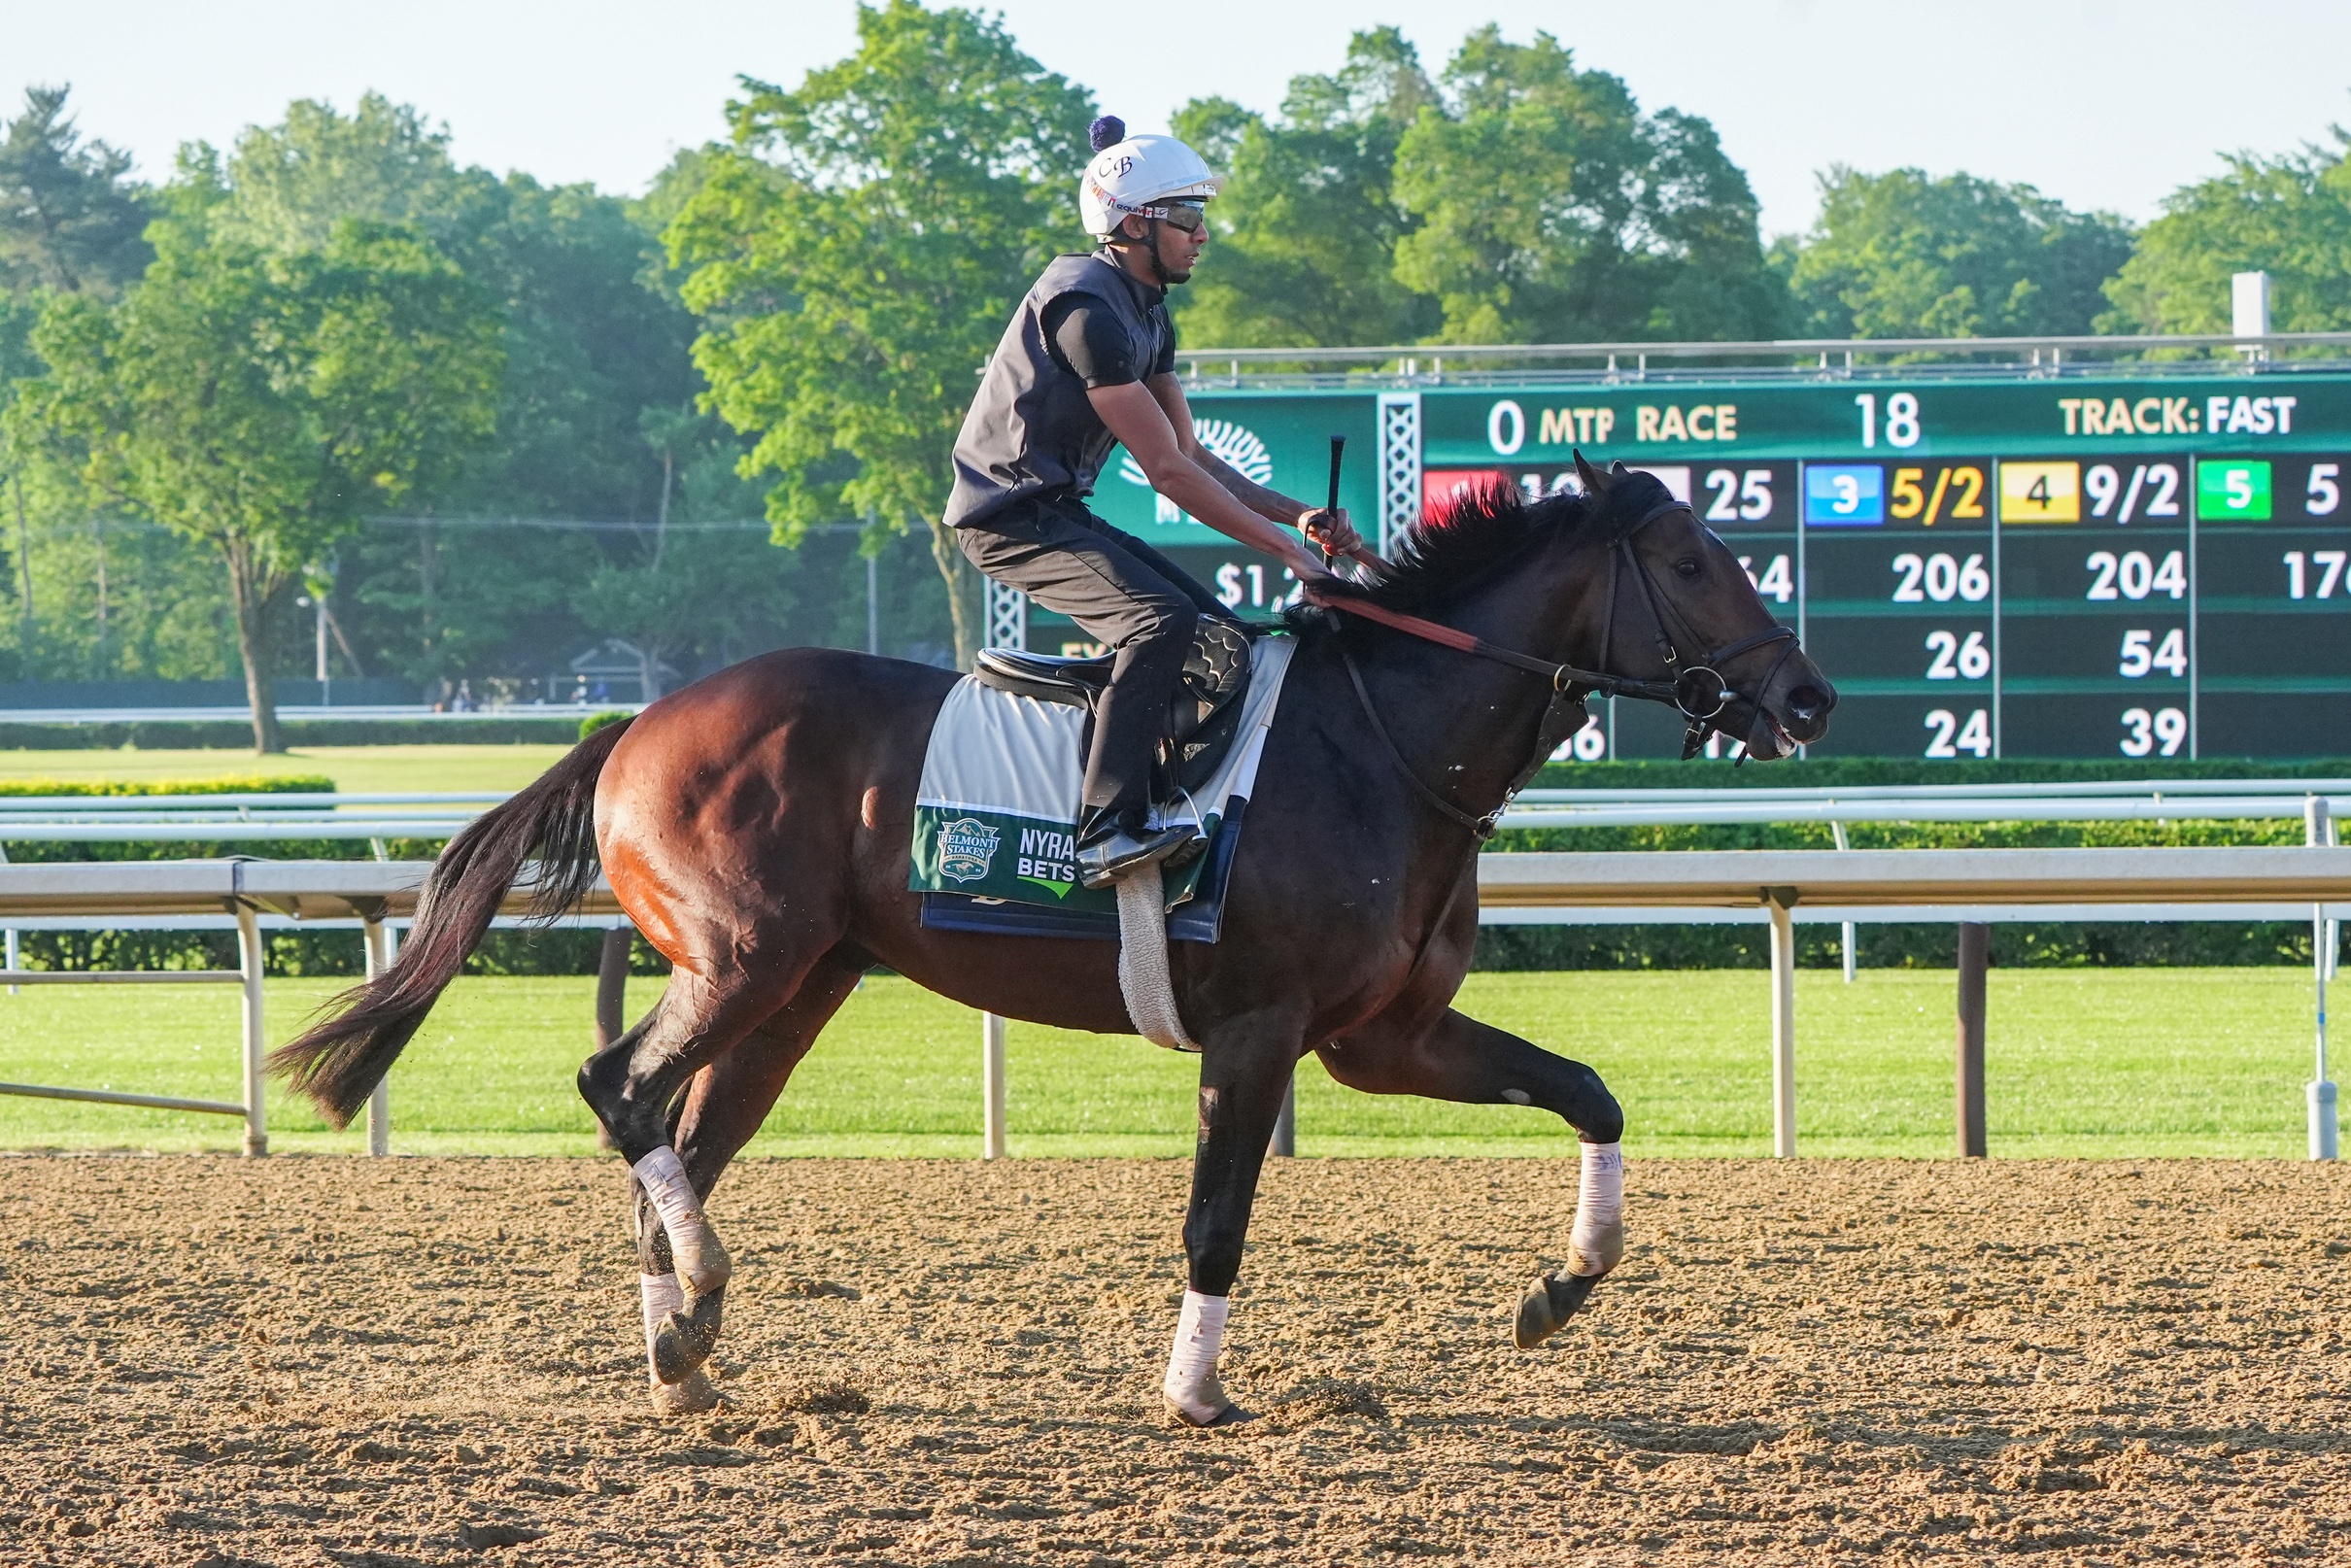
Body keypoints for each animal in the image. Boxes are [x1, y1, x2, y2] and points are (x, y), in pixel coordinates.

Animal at [270, 454, 1833, 1419]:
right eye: (1692, 561)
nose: (1807, 697)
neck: (1380, 745)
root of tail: (639, 724)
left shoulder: (1381, 1037)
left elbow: (1589, 1092)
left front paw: (1560, 1289)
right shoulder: (1260, 1029)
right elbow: (1216, 1217)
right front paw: (1195, 1391)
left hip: (796, 990)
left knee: (679, 1132)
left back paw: (684, 1353)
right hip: (743, 956)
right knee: (618, 1089)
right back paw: (696, 1302)